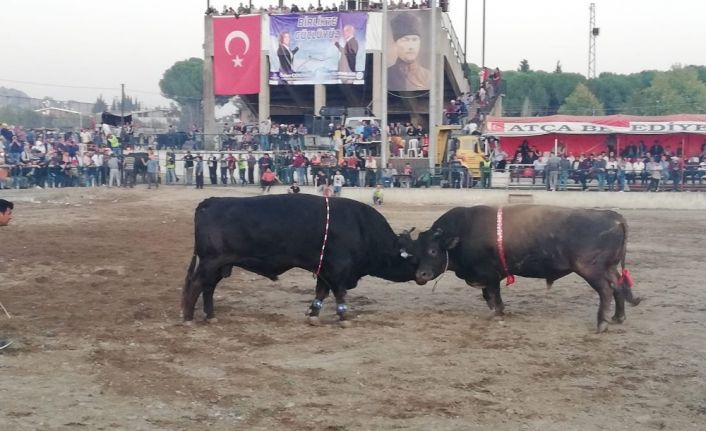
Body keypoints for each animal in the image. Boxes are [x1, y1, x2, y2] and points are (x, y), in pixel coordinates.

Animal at [179, 196, 418, 324]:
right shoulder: (338, 269)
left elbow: (321, 292)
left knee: (208, 287)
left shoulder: (324, 270)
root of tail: (210, 202)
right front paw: (343, 318)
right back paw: (188, 317)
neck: (361, 228)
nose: (423, 275)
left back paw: (210, 316)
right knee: (197, 284)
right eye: (415, 257)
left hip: (220, 266)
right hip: (211, 262)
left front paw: (313, 314)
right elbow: (339, 293)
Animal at [412, 204, 640, 332]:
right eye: (417, 250)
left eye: (433, 250)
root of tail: (613, 217)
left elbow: (493, 295)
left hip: (591, 269)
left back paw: (602, 323)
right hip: (608, 267)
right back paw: (618, 317)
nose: (420, 275)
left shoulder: (490, 274)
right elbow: (489, 296)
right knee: (619, 286)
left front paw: (498, 313)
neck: (463, 232)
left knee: (606, 290)